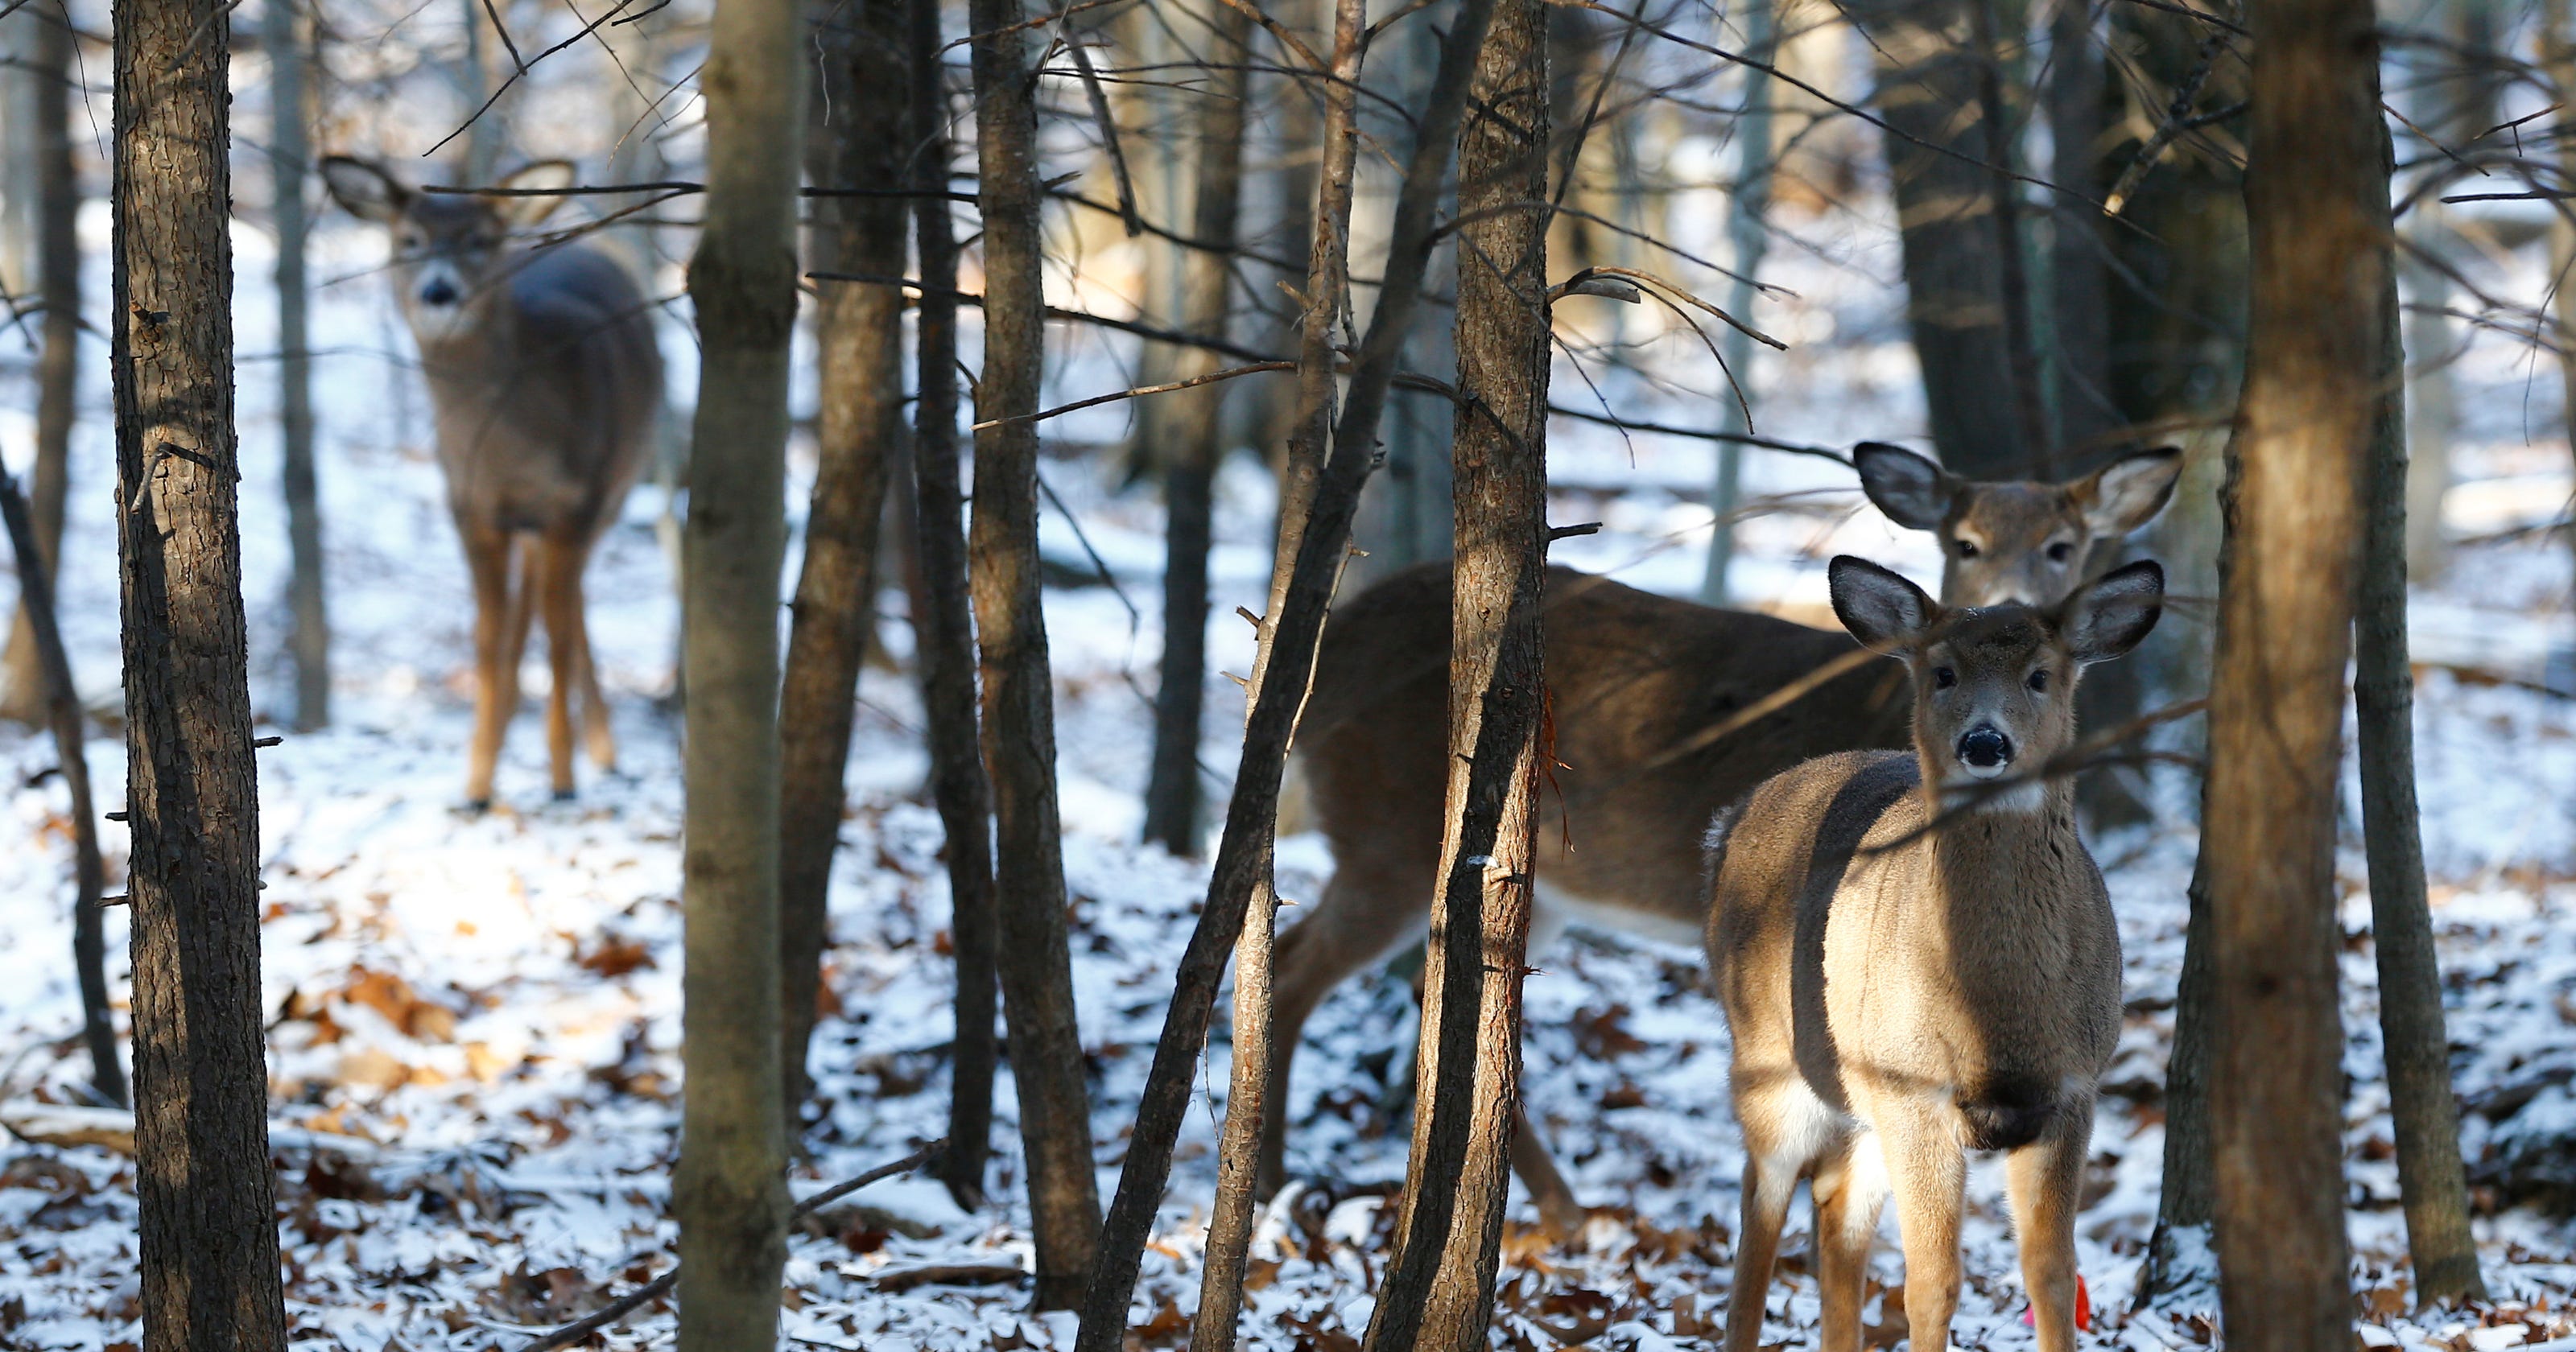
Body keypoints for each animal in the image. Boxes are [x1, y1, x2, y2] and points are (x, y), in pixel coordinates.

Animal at [322, 156, 665, 811]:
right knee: (532, 610)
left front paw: (562, 779)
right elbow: (486, 638)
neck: (514, 453)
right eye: (410, 240)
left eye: (479, 240)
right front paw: (477, 784)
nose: (439, 292)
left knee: (568, 606)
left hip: (615, 489)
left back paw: (599, 750)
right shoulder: (469, 508)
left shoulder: (575, 504)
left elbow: (555, 637)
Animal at [1261, 441, 2183, 1233]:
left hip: (1526, 879)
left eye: (2063, 545)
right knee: (1294, 964)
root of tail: (1326, 654)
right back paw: (1272, 1183)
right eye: (1965, 541)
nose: (2014, 608)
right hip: (1389, 828)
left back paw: (1563, 1211)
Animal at [1703, 555, 2162, 1352]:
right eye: (1942, 671)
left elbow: (2051, 1274)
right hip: (1769, 1054)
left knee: (1835, 1205)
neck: (1998, 1014)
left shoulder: (2072, 1089)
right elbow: (1933, 1284)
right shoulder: (1914, 1089)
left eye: (2041, 675)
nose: (1985, 743)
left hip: (1859, 1092)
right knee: (1761, 1202)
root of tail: (1730, 821)